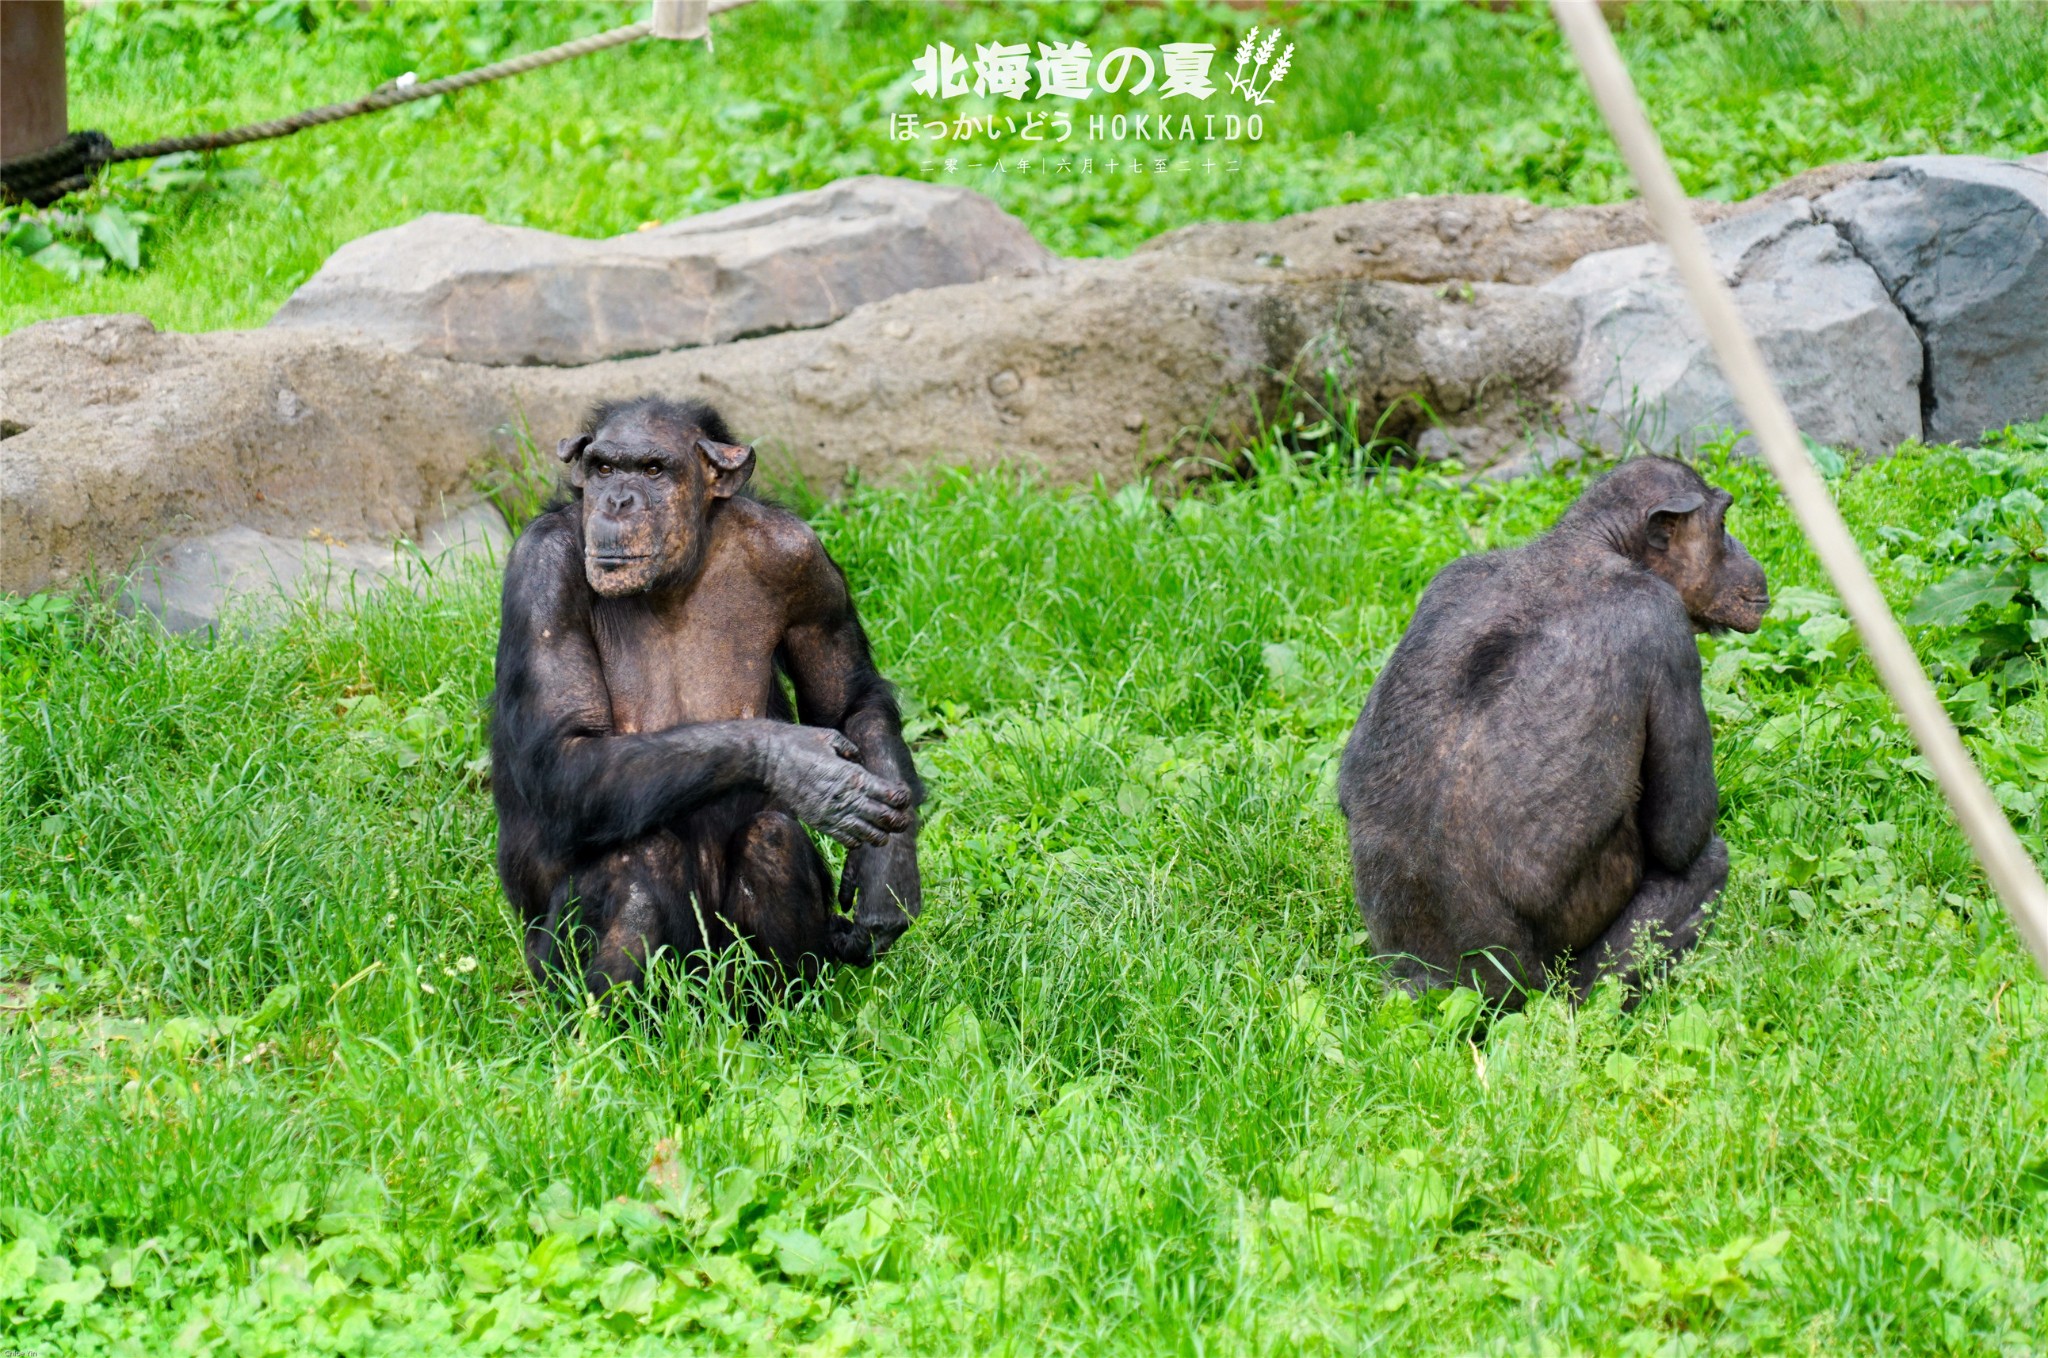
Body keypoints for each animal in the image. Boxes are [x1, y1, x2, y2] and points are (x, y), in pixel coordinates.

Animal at [491, 393, 925, 999]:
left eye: (653, 469)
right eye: (604, 468)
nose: (618, 501)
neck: (678, 574)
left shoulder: (801, 557)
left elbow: (847, 700)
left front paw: (887, 872)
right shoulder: (541, 572)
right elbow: (562, 752)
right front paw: (797, 763)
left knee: (773, 838)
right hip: (553, 969)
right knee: (638, 856)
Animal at [1335, 462, 1769, 1003]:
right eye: (1723, 523)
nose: (1744, 552)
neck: (1596, 546)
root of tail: (1447, 981)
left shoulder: (1450, 578)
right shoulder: (1662, 622)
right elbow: (1680, 832)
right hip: (1556, 980)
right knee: (1703, 868)